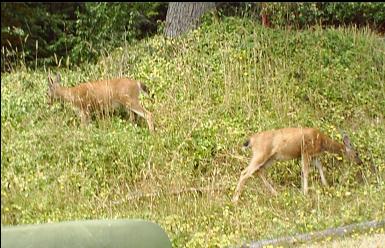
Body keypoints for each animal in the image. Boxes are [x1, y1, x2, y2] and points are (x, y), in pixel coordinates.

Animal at [231, 127, 364, 202]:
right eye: (356, 153)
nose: (360, 162)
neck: (322, 141)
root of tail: (252, 140)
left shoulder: (313, 155)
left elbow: (319, 167)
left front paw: (325, 185)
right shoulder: (306, 151)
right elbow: (306, 171)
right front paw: (305, 192)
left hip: (271, 158)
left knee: (259, 171)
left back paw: (275, 193)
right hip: (261, 153)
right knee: (245, 172)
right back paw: (235, 200)